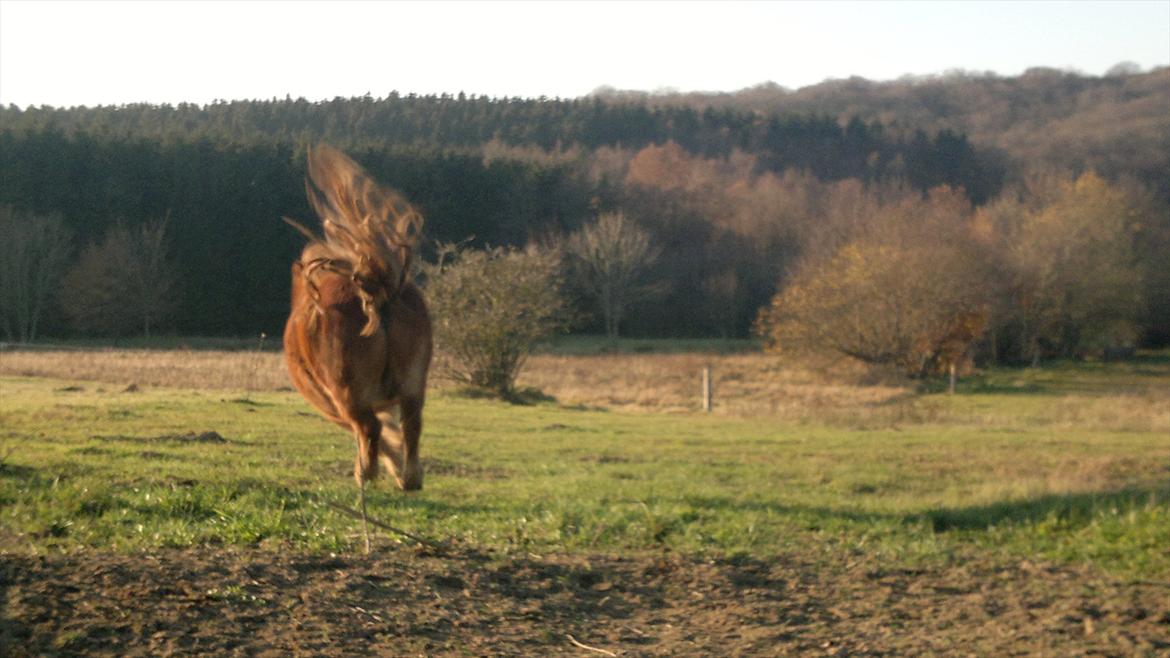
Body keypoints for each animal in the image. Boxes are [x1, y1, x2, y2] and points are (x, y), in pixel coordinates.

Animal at [280, 145, 432, 550]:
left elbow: (376, 432)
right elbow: (394, 430)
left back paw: (367, 472)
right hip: (414, 385)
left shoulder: (332, 403)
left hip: (344, 392)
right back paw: (410, 475)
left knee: (369, 428)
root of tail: (374, 289)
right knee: (412, 424)